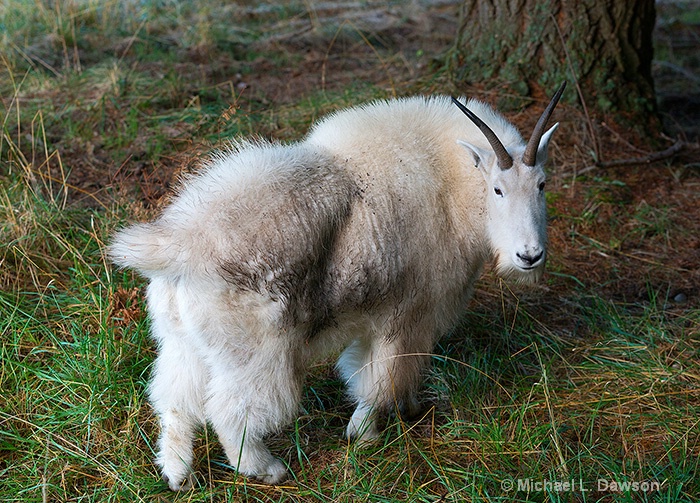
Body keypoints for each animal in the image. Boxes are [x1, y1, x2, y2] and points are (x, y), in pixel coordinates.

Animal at [110, 81, 568, 488]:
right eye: (498, 189)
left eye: (542, 184)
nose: (529, 256)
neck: (449, 184)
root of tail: (182, 246)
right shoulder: (407, 315)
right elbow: (380, 379)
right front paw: (364, 435)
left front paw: (408, 409)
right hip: (253, 354)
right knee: (229, 411)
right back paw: (266, 469)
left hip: (182, 341)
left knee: (173, 400)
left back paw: (177, 475)